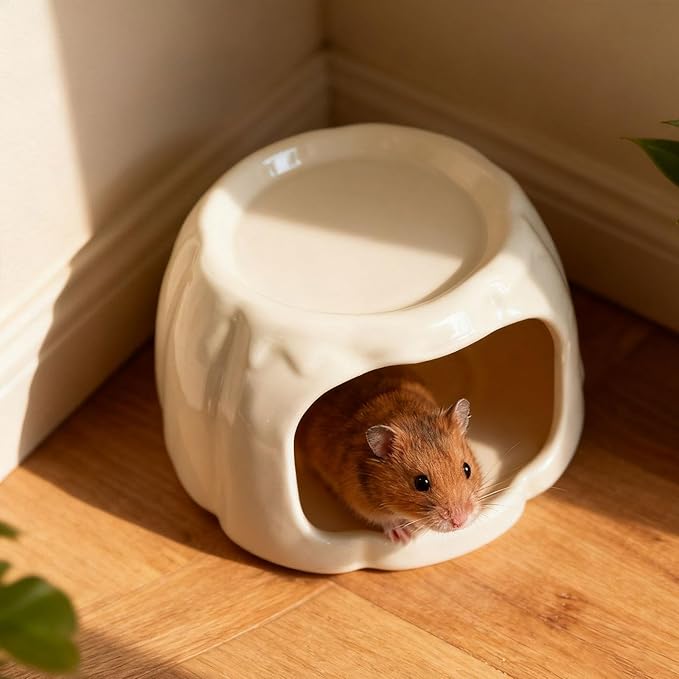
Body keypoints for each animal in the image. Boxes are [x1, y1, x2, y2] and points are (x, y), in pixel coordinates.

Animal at [298, 366, 482, 544]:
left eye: (467, 469)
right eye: (421, 483)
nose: (460, 521)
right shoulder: (360, 500)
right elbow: (385, 520)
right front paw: (404, 538)